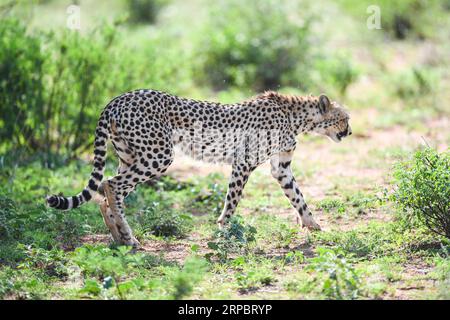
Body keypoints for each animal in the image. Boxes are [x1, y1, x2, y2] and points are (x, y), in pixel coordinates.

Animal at [47, 90, 354, 248]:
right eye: (345, 118)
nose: (350, 132)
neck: (297, 117)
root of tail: (118, 98)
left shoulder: (280, 168)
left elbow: (297, 196)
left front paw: (313, 224)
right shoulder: (243, 163)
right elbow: (232, 202)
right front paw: (224, 231)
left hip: (131, 156)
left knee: (105, 189)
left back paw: (120, 236)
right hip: (159, 155)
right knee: (111, 184)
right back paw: (128, 236)